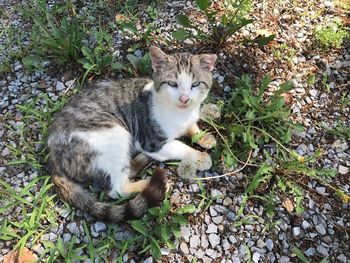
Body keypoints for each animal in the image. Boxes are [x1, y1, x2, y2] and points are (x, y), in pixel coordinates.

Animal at [46, 47, 216, 223]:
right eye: (172, 84)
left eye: (195, 84)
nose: (184, 99)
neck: (182, 114)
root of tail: (53, 159)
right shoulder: (152, 142)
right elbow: (181, 147)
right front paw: (200, 157)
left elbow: (193, 127)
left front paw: (205, 137)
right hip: (114, 133)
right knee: (117, 189)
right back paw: (151, 184)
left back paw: (141, 160)